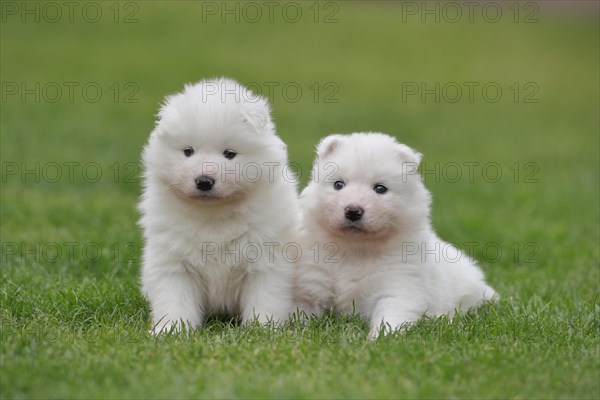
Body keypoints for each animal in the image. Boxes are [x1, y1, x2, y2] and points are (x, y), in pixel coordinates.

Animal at [139, 78, 300, 334]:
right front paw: (171, 329)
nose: (204, 181)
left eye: (229, 153)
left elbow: (265, 298)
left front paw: (263, 329)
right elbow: (174, 299)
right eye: (188, 151)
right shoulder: (173, 263)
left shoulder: (266, 261)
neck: (213, 214)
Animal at [296, 132, 496, 338]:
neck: (355, 249)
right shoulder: (313, 282)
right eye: (338, 184)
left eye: (380, 188)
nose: (353, 211)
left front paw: (378, 339)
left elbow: (390, 317)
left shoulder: (398, 287)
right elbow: (303, 311)